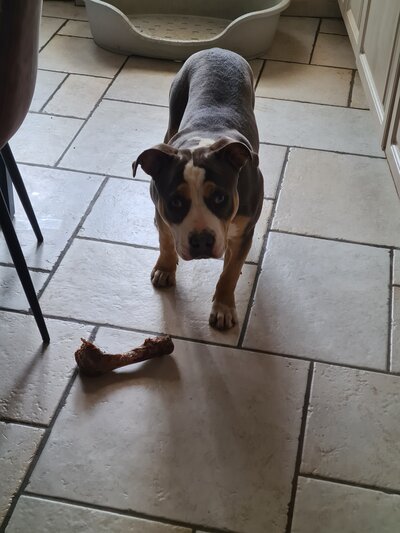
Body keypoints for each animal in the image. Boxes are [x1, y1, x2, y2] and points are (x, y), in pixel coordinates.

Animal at [133, 48, 263, 330]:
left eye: (220, 197)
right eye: (175, 202)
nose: (202, 240)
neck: (203, 141)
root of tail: (217, 49)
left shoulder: (244, 232)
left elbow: (230, 272)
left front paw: (223, 307)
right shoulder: (161, 211)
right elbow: (166, 240)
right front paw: (165, 268)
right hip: (174, 107)